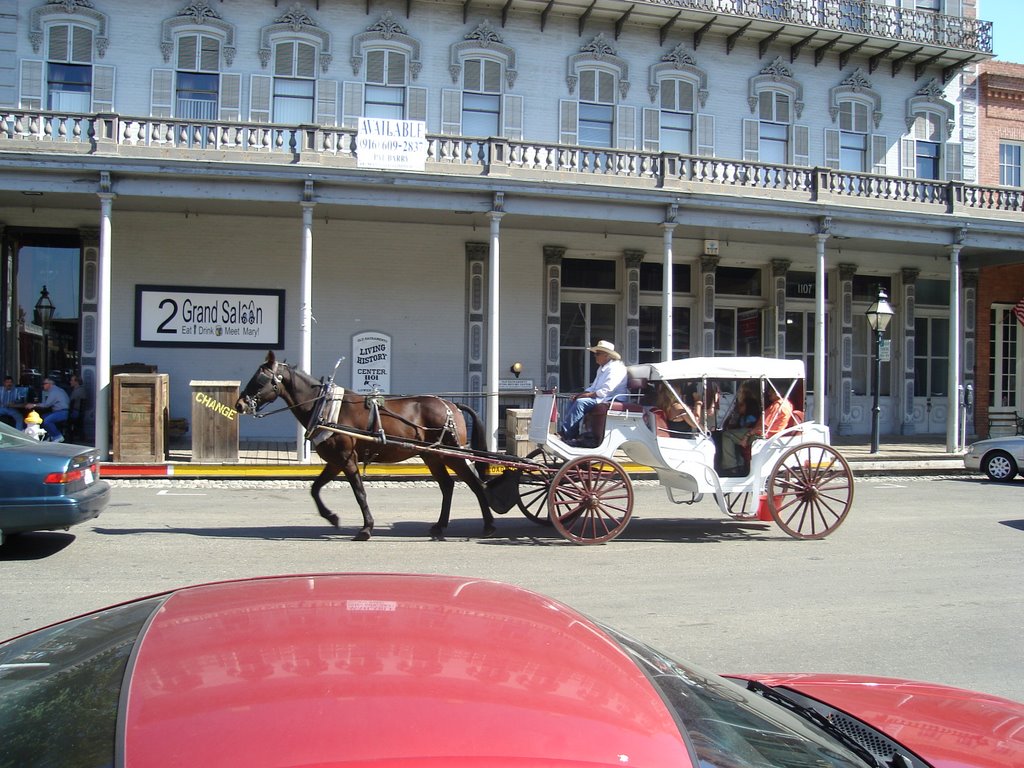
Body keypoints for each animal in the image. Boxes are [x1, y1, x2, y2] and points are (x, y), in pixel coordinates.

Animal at [236, 354, 499, 540]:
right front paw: (332, 517)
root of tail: (451, 405)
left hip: (451, 454)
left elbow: (359, 492)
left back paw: (488, 525)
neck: (325, 408)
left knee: (475, 484)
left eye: (260, 379)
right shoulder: (335, 460)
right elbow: (315, 488)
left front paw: (366, 528)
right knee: (447, 486)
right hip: (431, 455)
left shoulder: (346, 457)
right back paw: (440, 525)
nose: (239, 404)